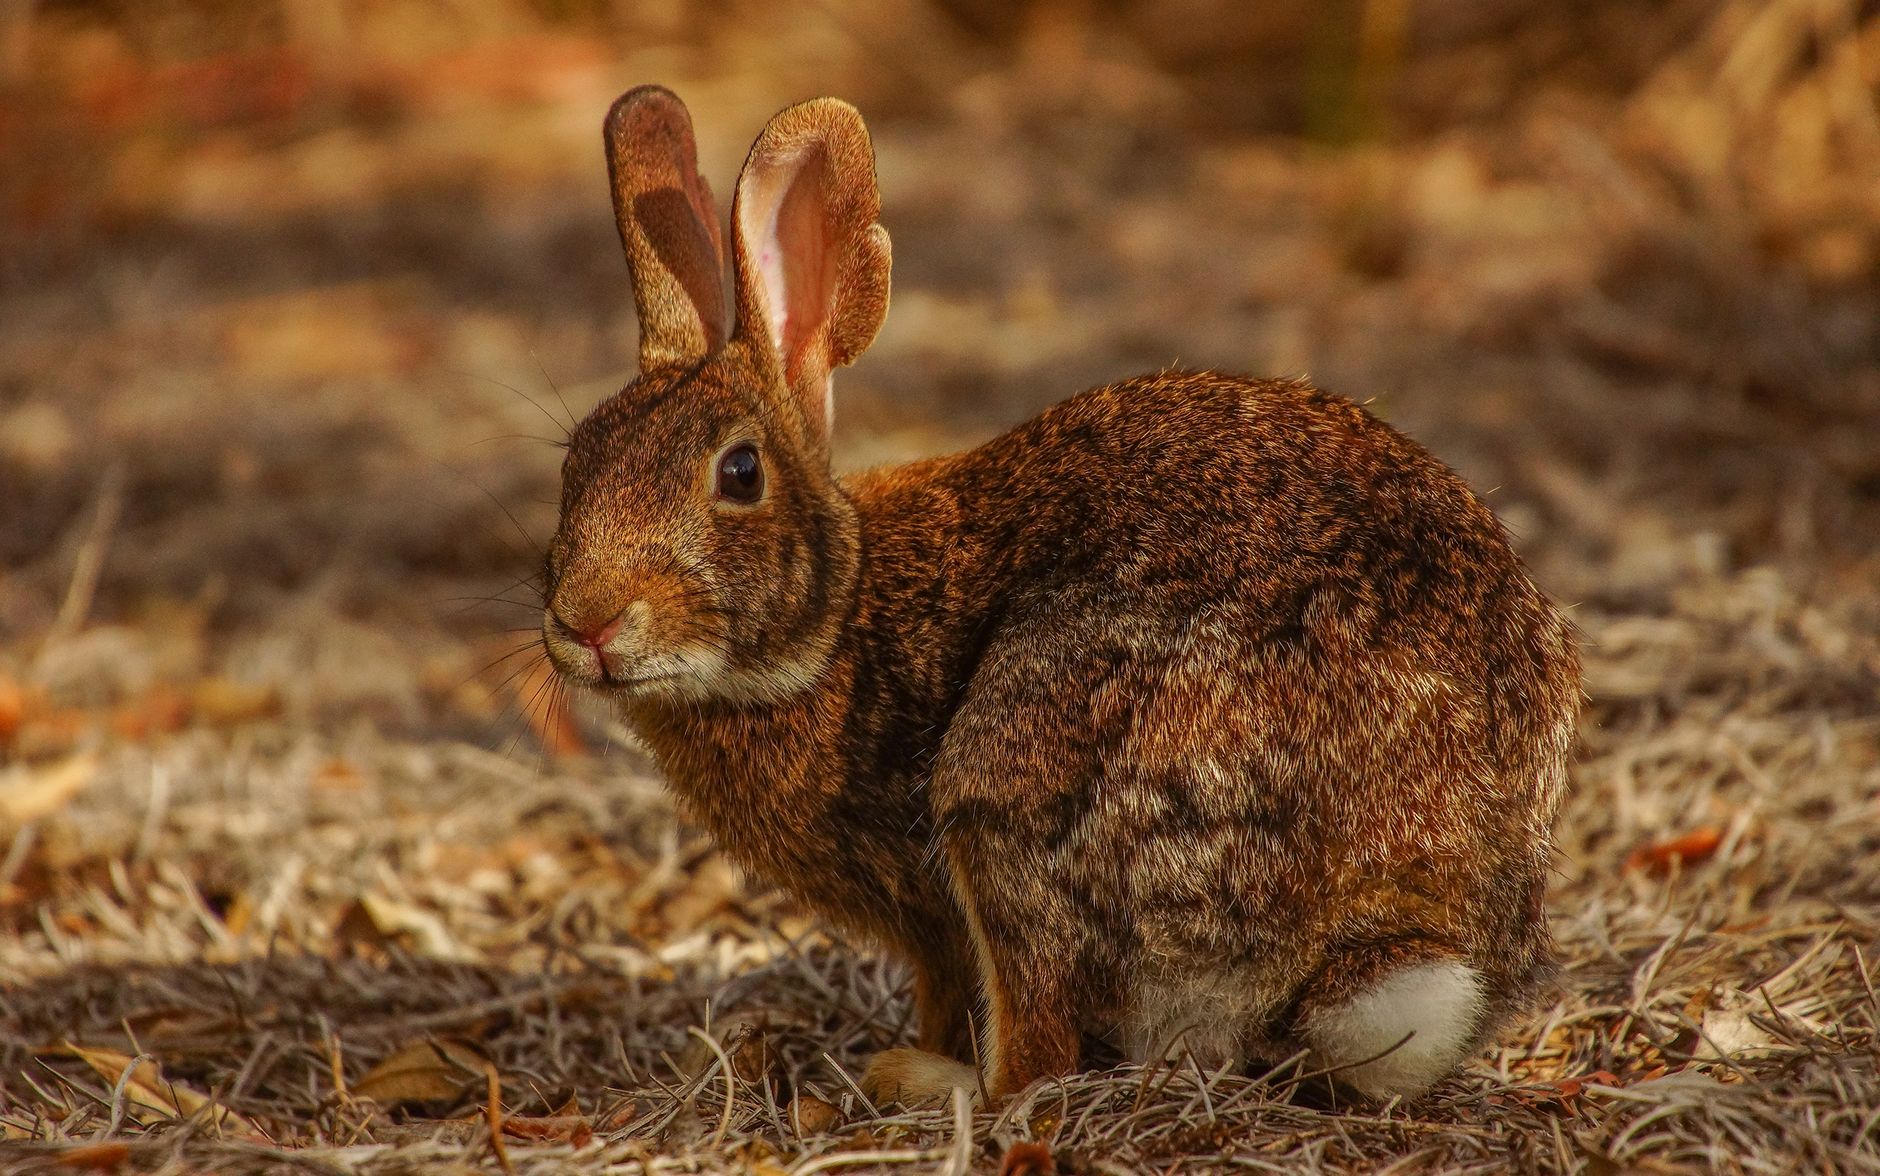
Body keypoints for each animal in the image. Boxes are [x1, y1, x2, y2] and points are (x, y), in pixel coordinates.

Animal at [539, 85, 1582, 1105]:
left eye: (741, 473)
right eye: (575, 461)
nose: (587, 622)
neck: (837, 622)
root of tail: (1398, 904)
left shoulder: (939, 916)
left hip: (1012, 776)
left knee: (1035, 1058)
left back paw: (919, 1079)